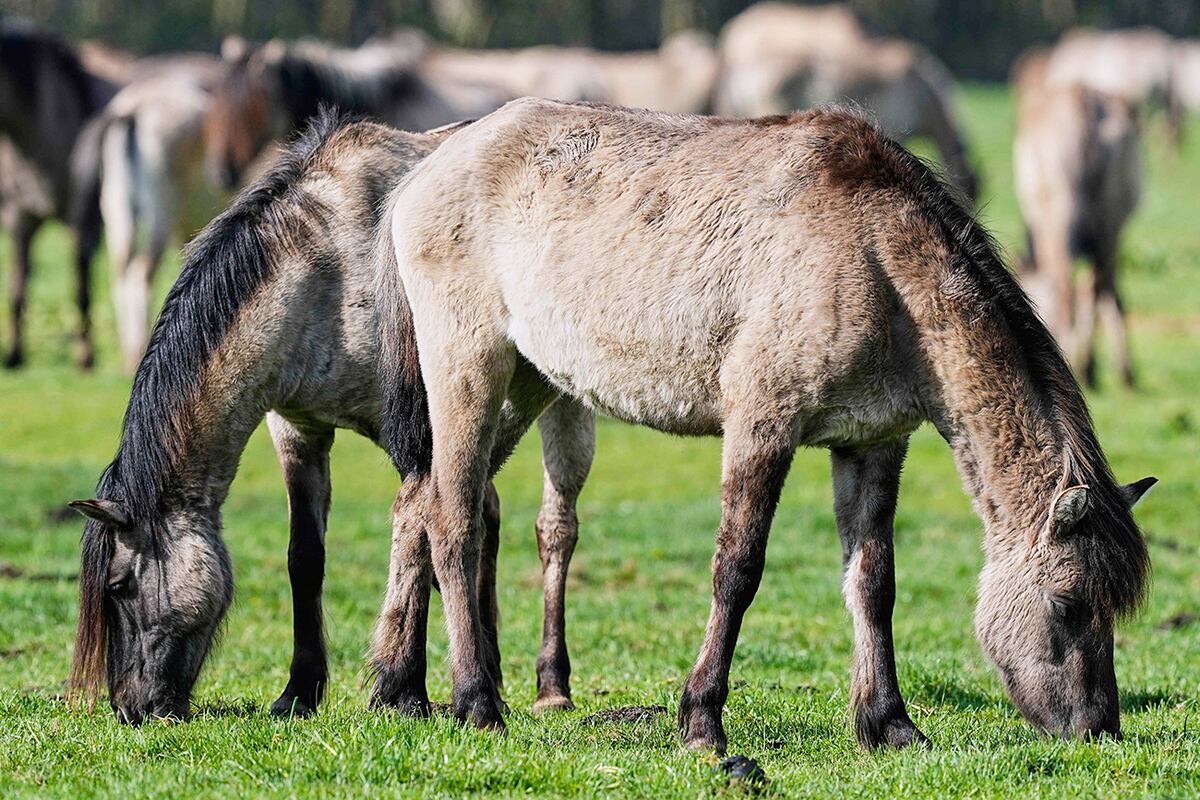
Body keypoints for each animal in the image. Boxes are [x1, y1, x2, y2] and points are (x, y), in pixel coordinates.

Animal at [0, 20, 117, 368]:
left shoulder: (83, 225)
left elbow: (82, 290)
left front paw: (85, 356)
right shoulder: (20, 221)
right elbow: (17, 287)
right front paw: (14, 355)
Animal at [68, 113, 595, 724]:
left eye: (119, 585)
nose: (132, 707)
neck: (329, 273)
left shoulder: (414, 434)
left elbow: (416, 535)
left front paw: (406, 691)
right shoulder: (299, 429)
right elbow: (307, 557)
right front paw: (300, 690)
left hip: (563, 404)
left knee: (555, 530)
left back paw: (550, 684)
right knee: (487, 515)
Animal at [377, 98, 1155, 751]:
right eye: (1068, 603)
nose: (1099, 728)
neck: (877, 258)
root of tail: (429, 163)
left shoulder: (873, 443)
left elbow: (873, 581)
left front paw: (890, 724)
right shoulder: (762, 423)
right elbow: (738, 570)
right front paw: (701, 719)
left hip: (527, 383)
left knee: (417, 505)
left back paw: (398, 690)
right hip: (469, 371)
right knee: (454, 522)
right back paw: (476, 702)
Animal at [1013, 52, 1142, 387]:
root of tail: (1080, 103)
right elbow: (1107, 294)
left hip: (1061, 220)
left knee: (1069, 288)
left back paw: (1080, 364)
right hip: (1110, 223)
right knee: (1099, 286)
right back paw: (1094, 365)